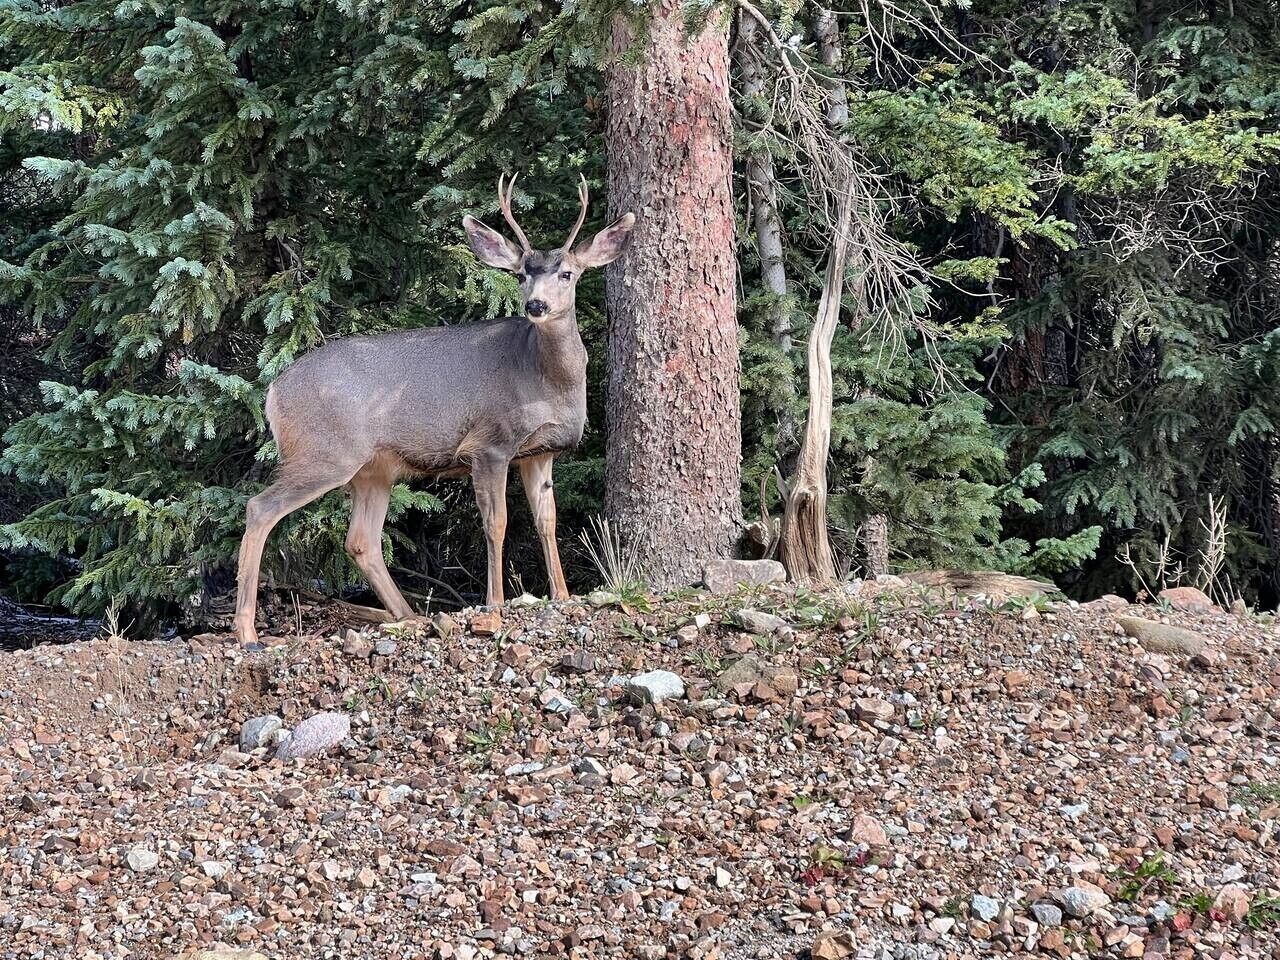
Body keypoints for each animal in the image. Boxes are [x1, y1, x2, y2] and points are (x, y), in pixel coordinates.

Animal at [232, 175, 635, 645]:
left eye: (567, 273)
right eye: (520, 275)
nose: (536, 305)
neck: (546, 382)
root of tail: (273, 392)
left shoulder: (540, 452)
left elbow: (546, 521)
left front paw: (563, 595)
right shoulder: (489, 444)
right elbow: (497, 523)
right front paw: (495, 603)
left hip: (374, 469)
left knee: (360, 540)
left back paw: (409, 615)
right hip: (326, 452)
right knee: (260, 508)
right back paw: (247, 631)